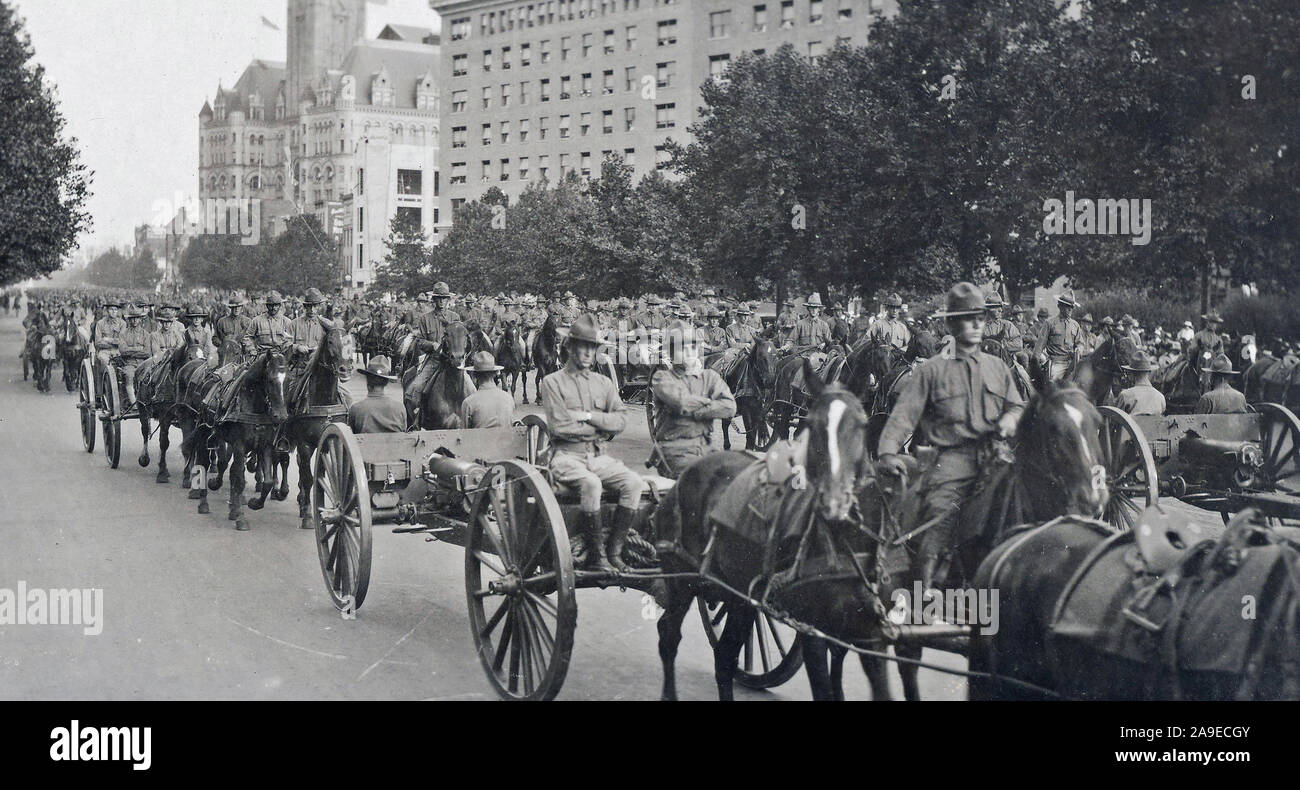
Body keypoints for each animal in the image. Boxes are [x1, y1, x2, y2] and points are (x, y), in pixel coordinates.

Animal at [286, 320, 356, 530]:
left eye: (351, 341)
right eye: (331, 341)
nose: (345, 369)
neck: (323, 399)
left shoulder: (328, 441)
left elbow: (323, 475)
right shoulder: (305, 444)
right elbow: (309, 478)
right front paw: (309, 515)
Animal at [655, 361, 878, 701]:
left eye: (863, 425)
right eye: (811, 425)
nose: (833, 500)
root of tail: (684, 477)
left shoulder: (847, 632)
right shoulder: (812, 629)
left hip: (737, 594)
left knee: (724, 655)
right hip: (683, 579)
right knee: (669, 635)